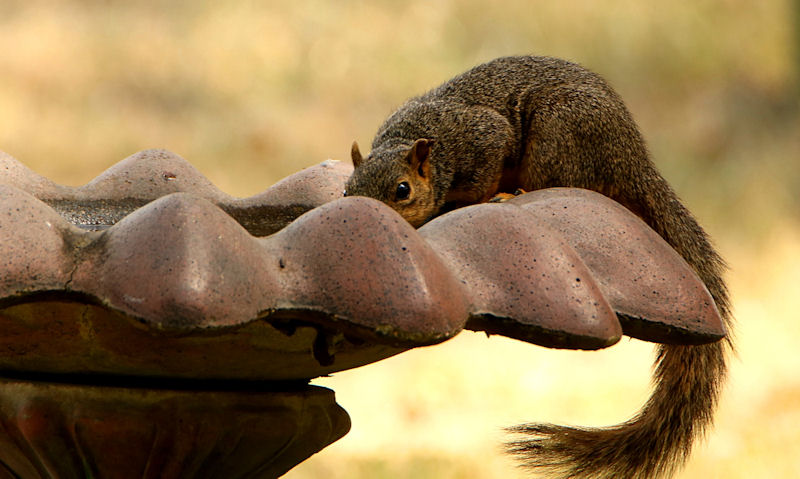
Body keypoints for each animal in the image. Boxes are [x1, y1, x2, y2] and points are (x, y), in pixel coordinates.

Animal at [344, 56, 732, 479]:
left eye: (403, 190)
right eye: (348, 189)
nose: (365, 214)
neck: (418, 138)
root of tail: (633, 159)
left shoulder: (484, 140)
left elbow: (484, 174)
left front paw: (477, 200)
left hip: (557, 134)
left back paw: (516, 192)